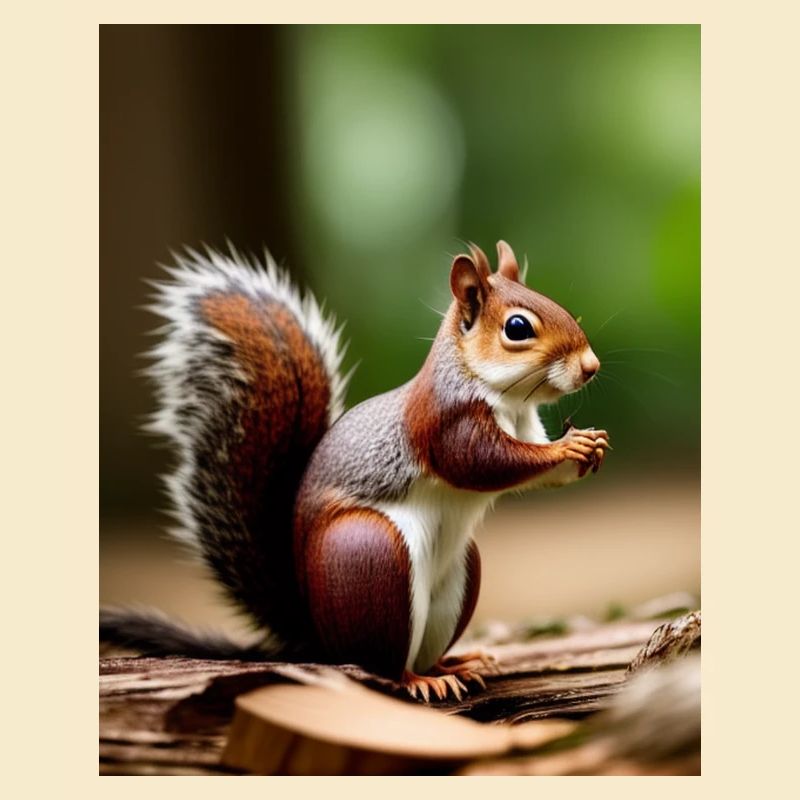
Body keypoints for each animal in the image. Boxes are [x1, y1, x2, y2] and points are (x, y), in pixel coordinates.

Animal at [100, 240, 609, 701]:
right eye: (517, 327)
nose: (591, 366)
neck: (507, 400)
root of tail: (316, 637)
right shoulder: (447, 423)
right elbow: (483, 463)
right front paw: (569, 448)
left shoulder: (525, 425)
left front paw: (589, 447)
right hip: (372, 556)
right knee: (382, 663)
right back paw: (421, 680)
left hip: (459, 572)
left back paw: (457, 663)